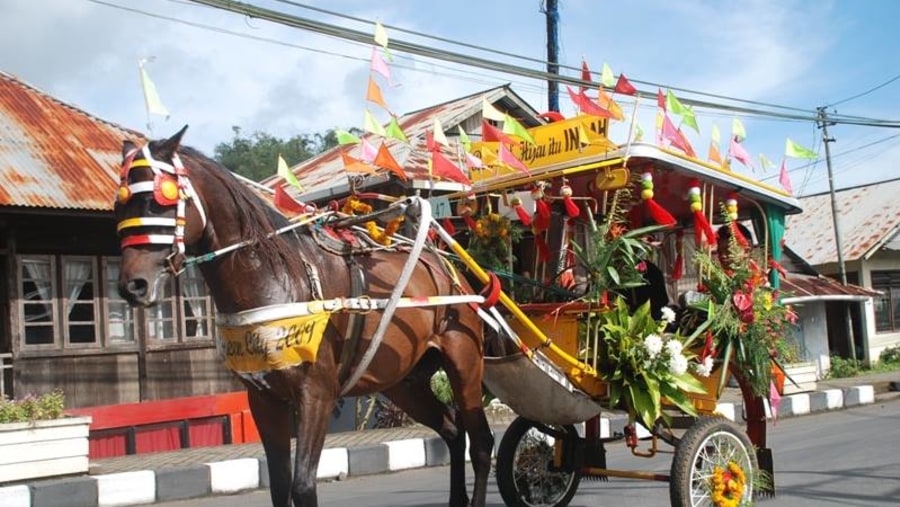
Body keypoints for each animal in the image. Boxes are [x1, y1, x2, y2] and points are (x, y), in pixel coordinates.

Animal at [114, 127, 492, 507]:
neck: (277, 280)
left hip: (464, 362)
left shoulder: (316, 393)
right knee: (453, 430)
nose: (132, 285)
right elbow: (280, 485)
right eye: (121, 204)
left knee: (481, 442)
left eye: (157, 201)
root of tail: (446, 268)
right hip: (403, 382)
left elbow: (303, 485)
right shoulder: (264, 400)